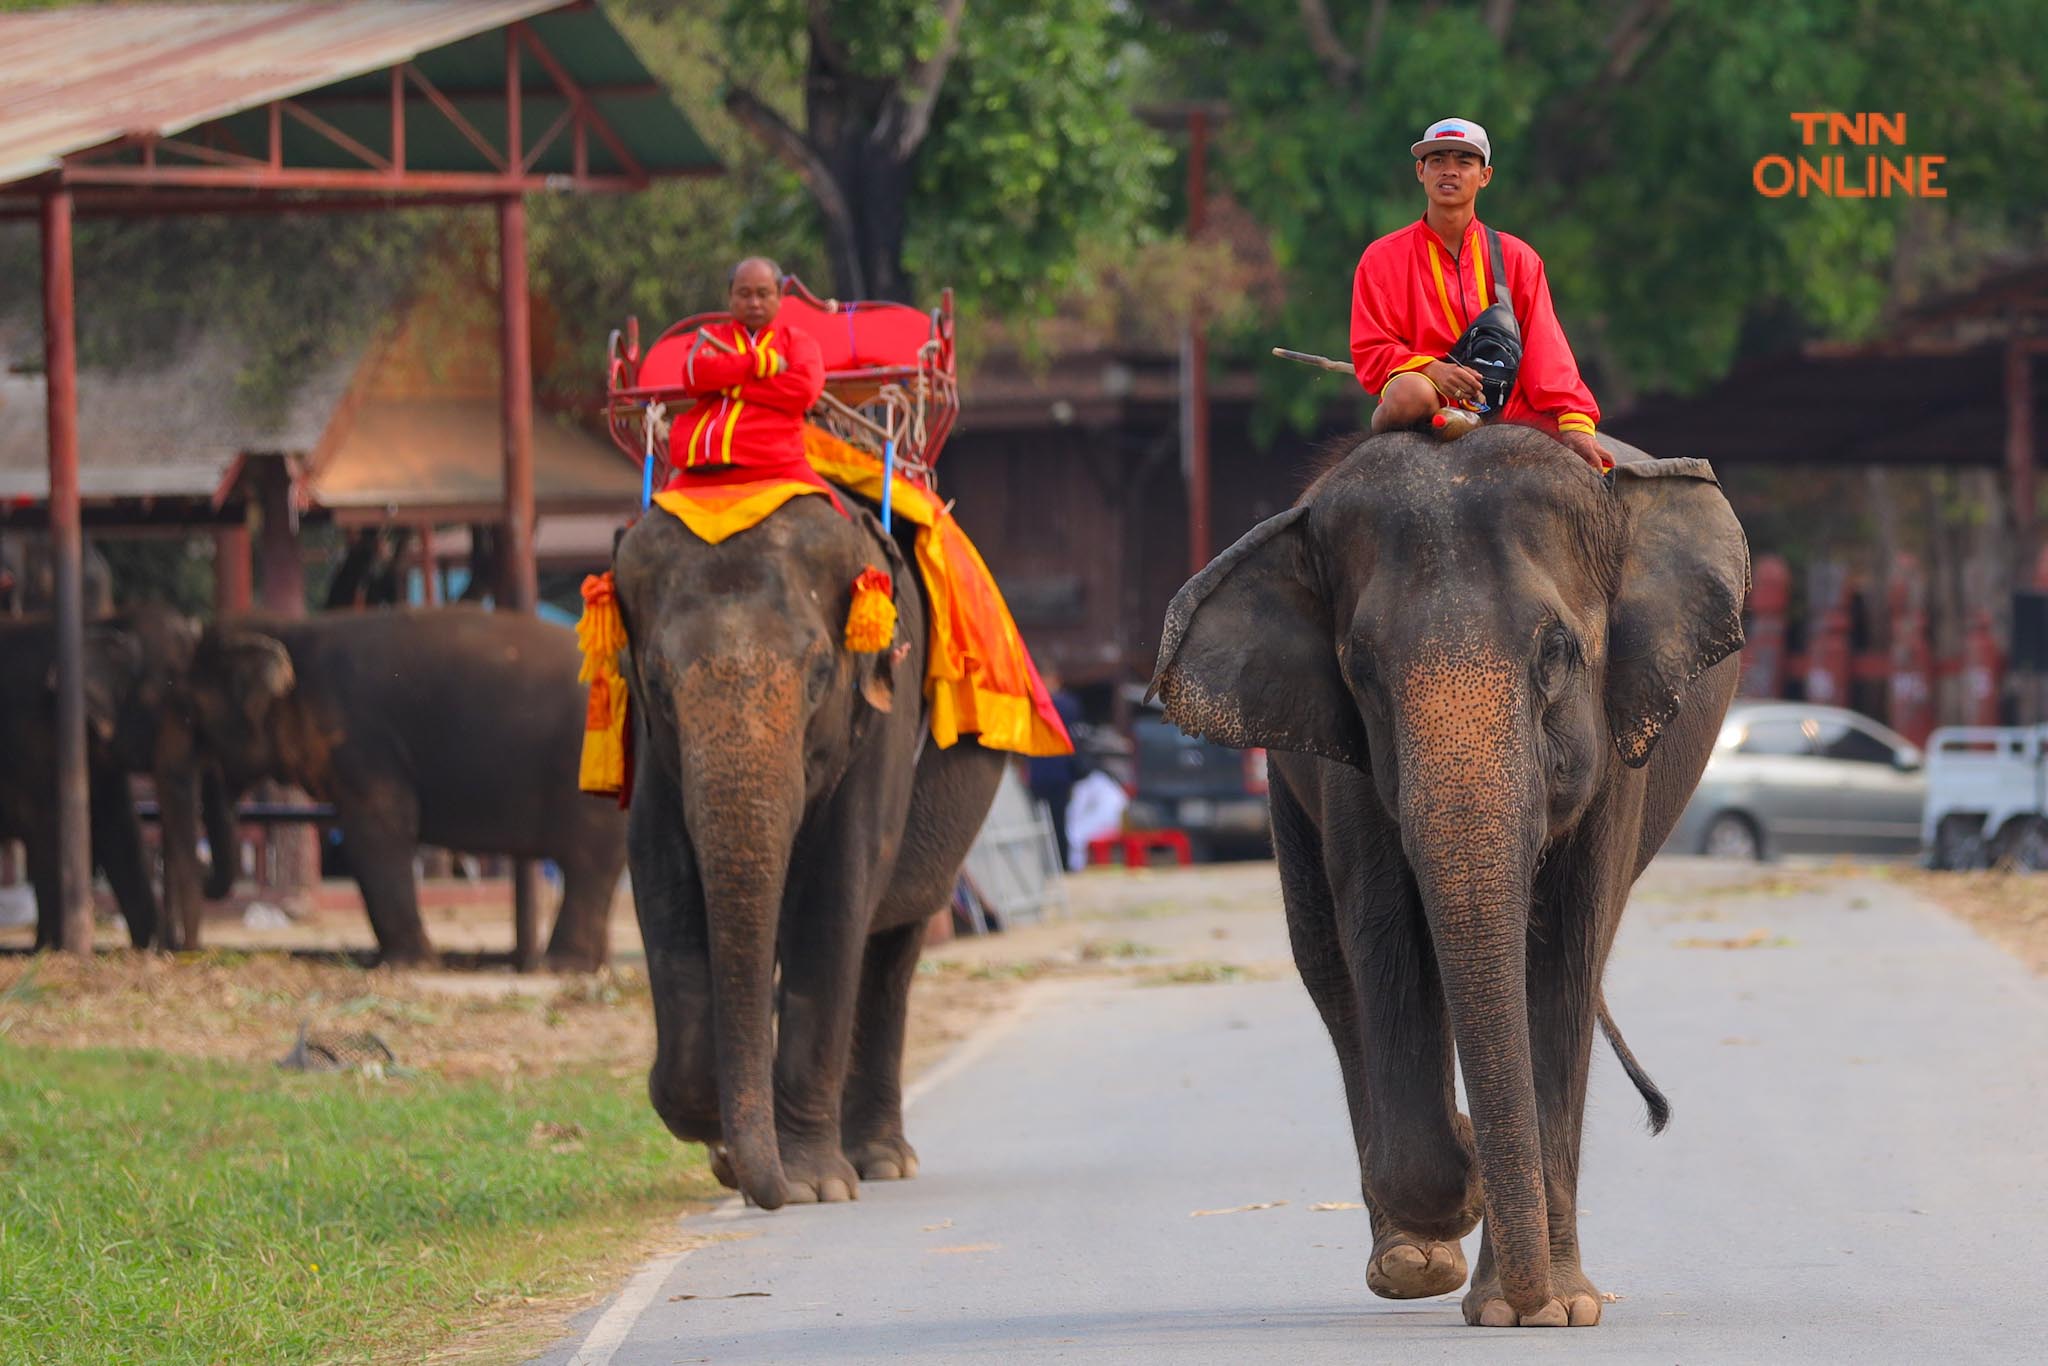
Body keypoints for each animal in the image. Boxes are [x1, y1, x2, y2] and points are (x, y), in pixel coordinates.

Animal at [0, 610, 235, 950]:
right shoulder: (37, 739)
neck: (107, 622)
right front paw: (52, 950)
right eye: (183, 709)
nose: (205, 869)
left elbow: (119, 828)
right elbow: (48, 830)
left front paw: (149, 947)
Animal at [184, 610, 630, 970]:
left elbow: (379, 831)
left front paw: (404, 966)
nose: (202, 872)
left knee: (588, 862)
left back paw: (560, 967)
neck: (290, 630)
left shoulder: (364, 742)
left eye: (196, 717)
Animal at [614, 497, 1007, 1212]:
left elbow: (837, 887)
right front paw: (722, 1142)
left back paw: (882, 1162)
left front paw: (810, 1185)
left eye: (821, 675)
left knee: (891, 952)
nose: (771, 1193)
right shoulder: (653, 749)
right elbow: (658, 871)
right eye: (654, 678)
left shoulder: (884, 711)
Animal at [1155, 423, 1744, 1327]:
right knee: (1328, 964)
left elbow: (1561, 956)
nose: (1534, 1301)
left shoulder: (1617, 749)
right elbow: (1384, 935)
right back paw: (1412, 1264)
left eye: (1556, 655)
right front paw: (1469, 1195)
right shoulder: (1348, 763)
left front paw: (1550, 1310)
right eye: (1361, 673)